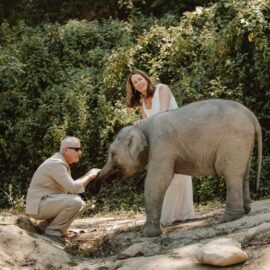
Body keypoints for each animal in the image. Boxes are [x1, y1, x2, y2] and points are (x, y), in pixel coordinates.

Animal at [88, 98, 262, 236]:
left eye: (112, 153)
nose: (93, 190)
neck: (141, 128)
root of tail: (252, 117)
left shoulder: (161, 145)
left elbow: (156, 180)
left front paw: (148, 234)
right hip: (244, 141)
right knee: (243, 173)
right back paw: (246, 211)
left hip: (234, 140)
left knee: (231, 173)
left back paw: (228, 218)